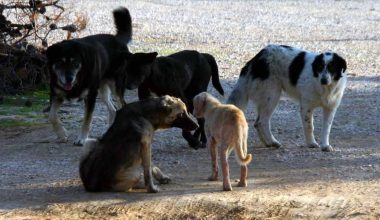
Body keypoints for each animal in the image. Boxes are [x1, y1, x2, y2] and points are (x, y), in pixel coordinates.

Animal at [46, 6, 132, 145]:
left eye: (75, 63)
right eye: (60, 62)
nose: (69, 78)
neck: (78, 79)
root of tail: (117, 39)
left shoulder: (90, 96)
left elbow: (87, 120)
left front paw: (81, 139)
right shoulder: (56, 94)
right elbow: (51, 116)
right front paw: (62, 134)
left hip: (115, 86)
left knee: (122, 105)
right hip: (102, 89)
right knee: (113, 110)